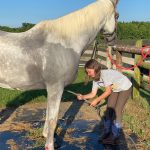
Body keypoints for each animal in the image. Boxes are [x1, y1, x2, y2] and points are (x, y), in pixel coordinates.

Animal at [0, 0, 118, 149]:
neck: (65, 42)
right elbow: (53, 119)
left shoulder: (51, 88)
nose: (113, 42)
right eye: (117, 16)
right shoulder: (56, 87)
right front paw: (50, 145)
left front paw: (46, 136)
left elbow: (48, 114)